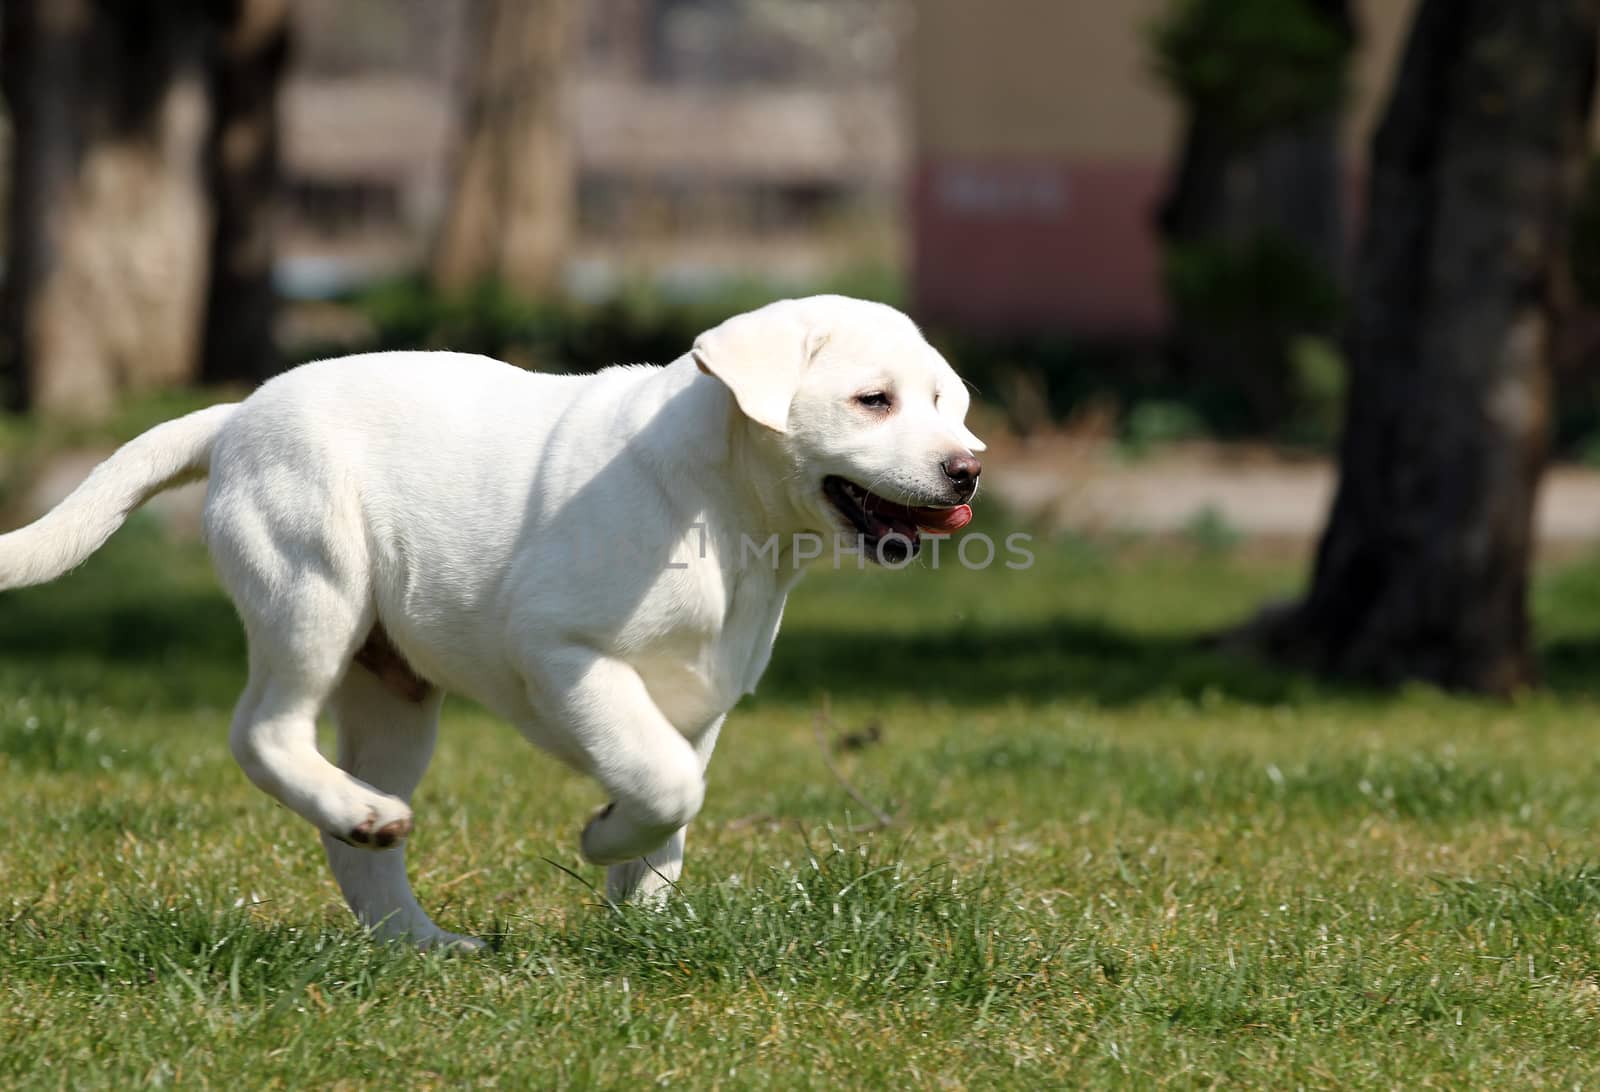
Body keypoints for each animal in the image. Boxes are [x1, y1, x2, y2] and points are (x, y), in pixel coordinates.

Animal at [0, 296, 979, 941]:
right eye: (874, 401)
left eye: (943, 403)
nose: (968, 467)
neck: (727, 510)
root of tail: (239, 414)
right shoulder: (563, 652)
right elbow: (665, 783)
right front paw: (601, 838)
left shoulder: (699, 700)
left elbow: (670, 814)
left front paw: (639, 921)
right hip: (312, 591)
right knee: (263, 733)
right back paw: (362, 821)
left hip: (392, 694)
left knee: (355, 850)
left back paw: (415, 932)